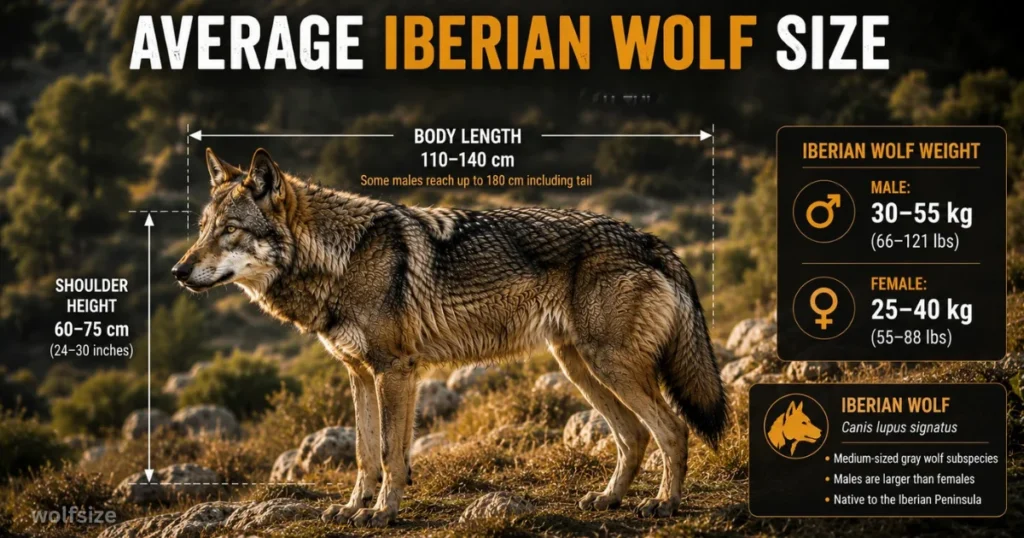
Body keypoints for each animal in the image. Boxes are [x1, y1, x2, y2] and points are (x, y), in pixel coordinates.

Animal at [172, 148, 728, 527]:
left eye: (229, 230)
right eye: (202, 228)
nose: (178, 271)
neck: (339, 258)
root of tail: (651, 240)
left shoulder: (395, 370)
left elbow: (390, 454)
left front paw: (381, 513)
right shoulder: (361, 374)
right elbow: (366, 454)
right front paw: (354, 508)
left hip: (608, 366)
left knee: (672, 430)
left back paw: (664, 503)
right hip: (579, 368)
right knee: (633, 435)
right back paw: (609, 499)